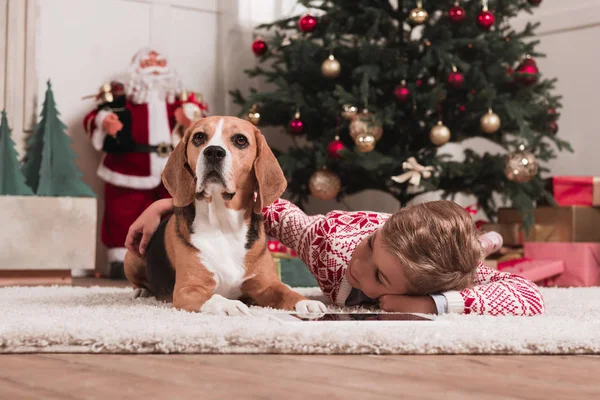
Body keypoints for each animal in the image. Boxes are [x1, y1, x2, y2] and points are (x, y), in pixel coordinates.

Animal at [123, 115, 326, 316]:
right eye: (199, 137)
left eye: (240, 140)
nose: (213, 152)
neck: (223, 224)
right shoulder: (187, 290)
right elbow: (215, 297)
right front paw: (231, 305)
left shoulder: (267, 286)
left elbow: (287, 291)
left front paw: (306, 302)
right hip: (131, 255)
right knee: (137, 281)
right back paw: (141, 290)